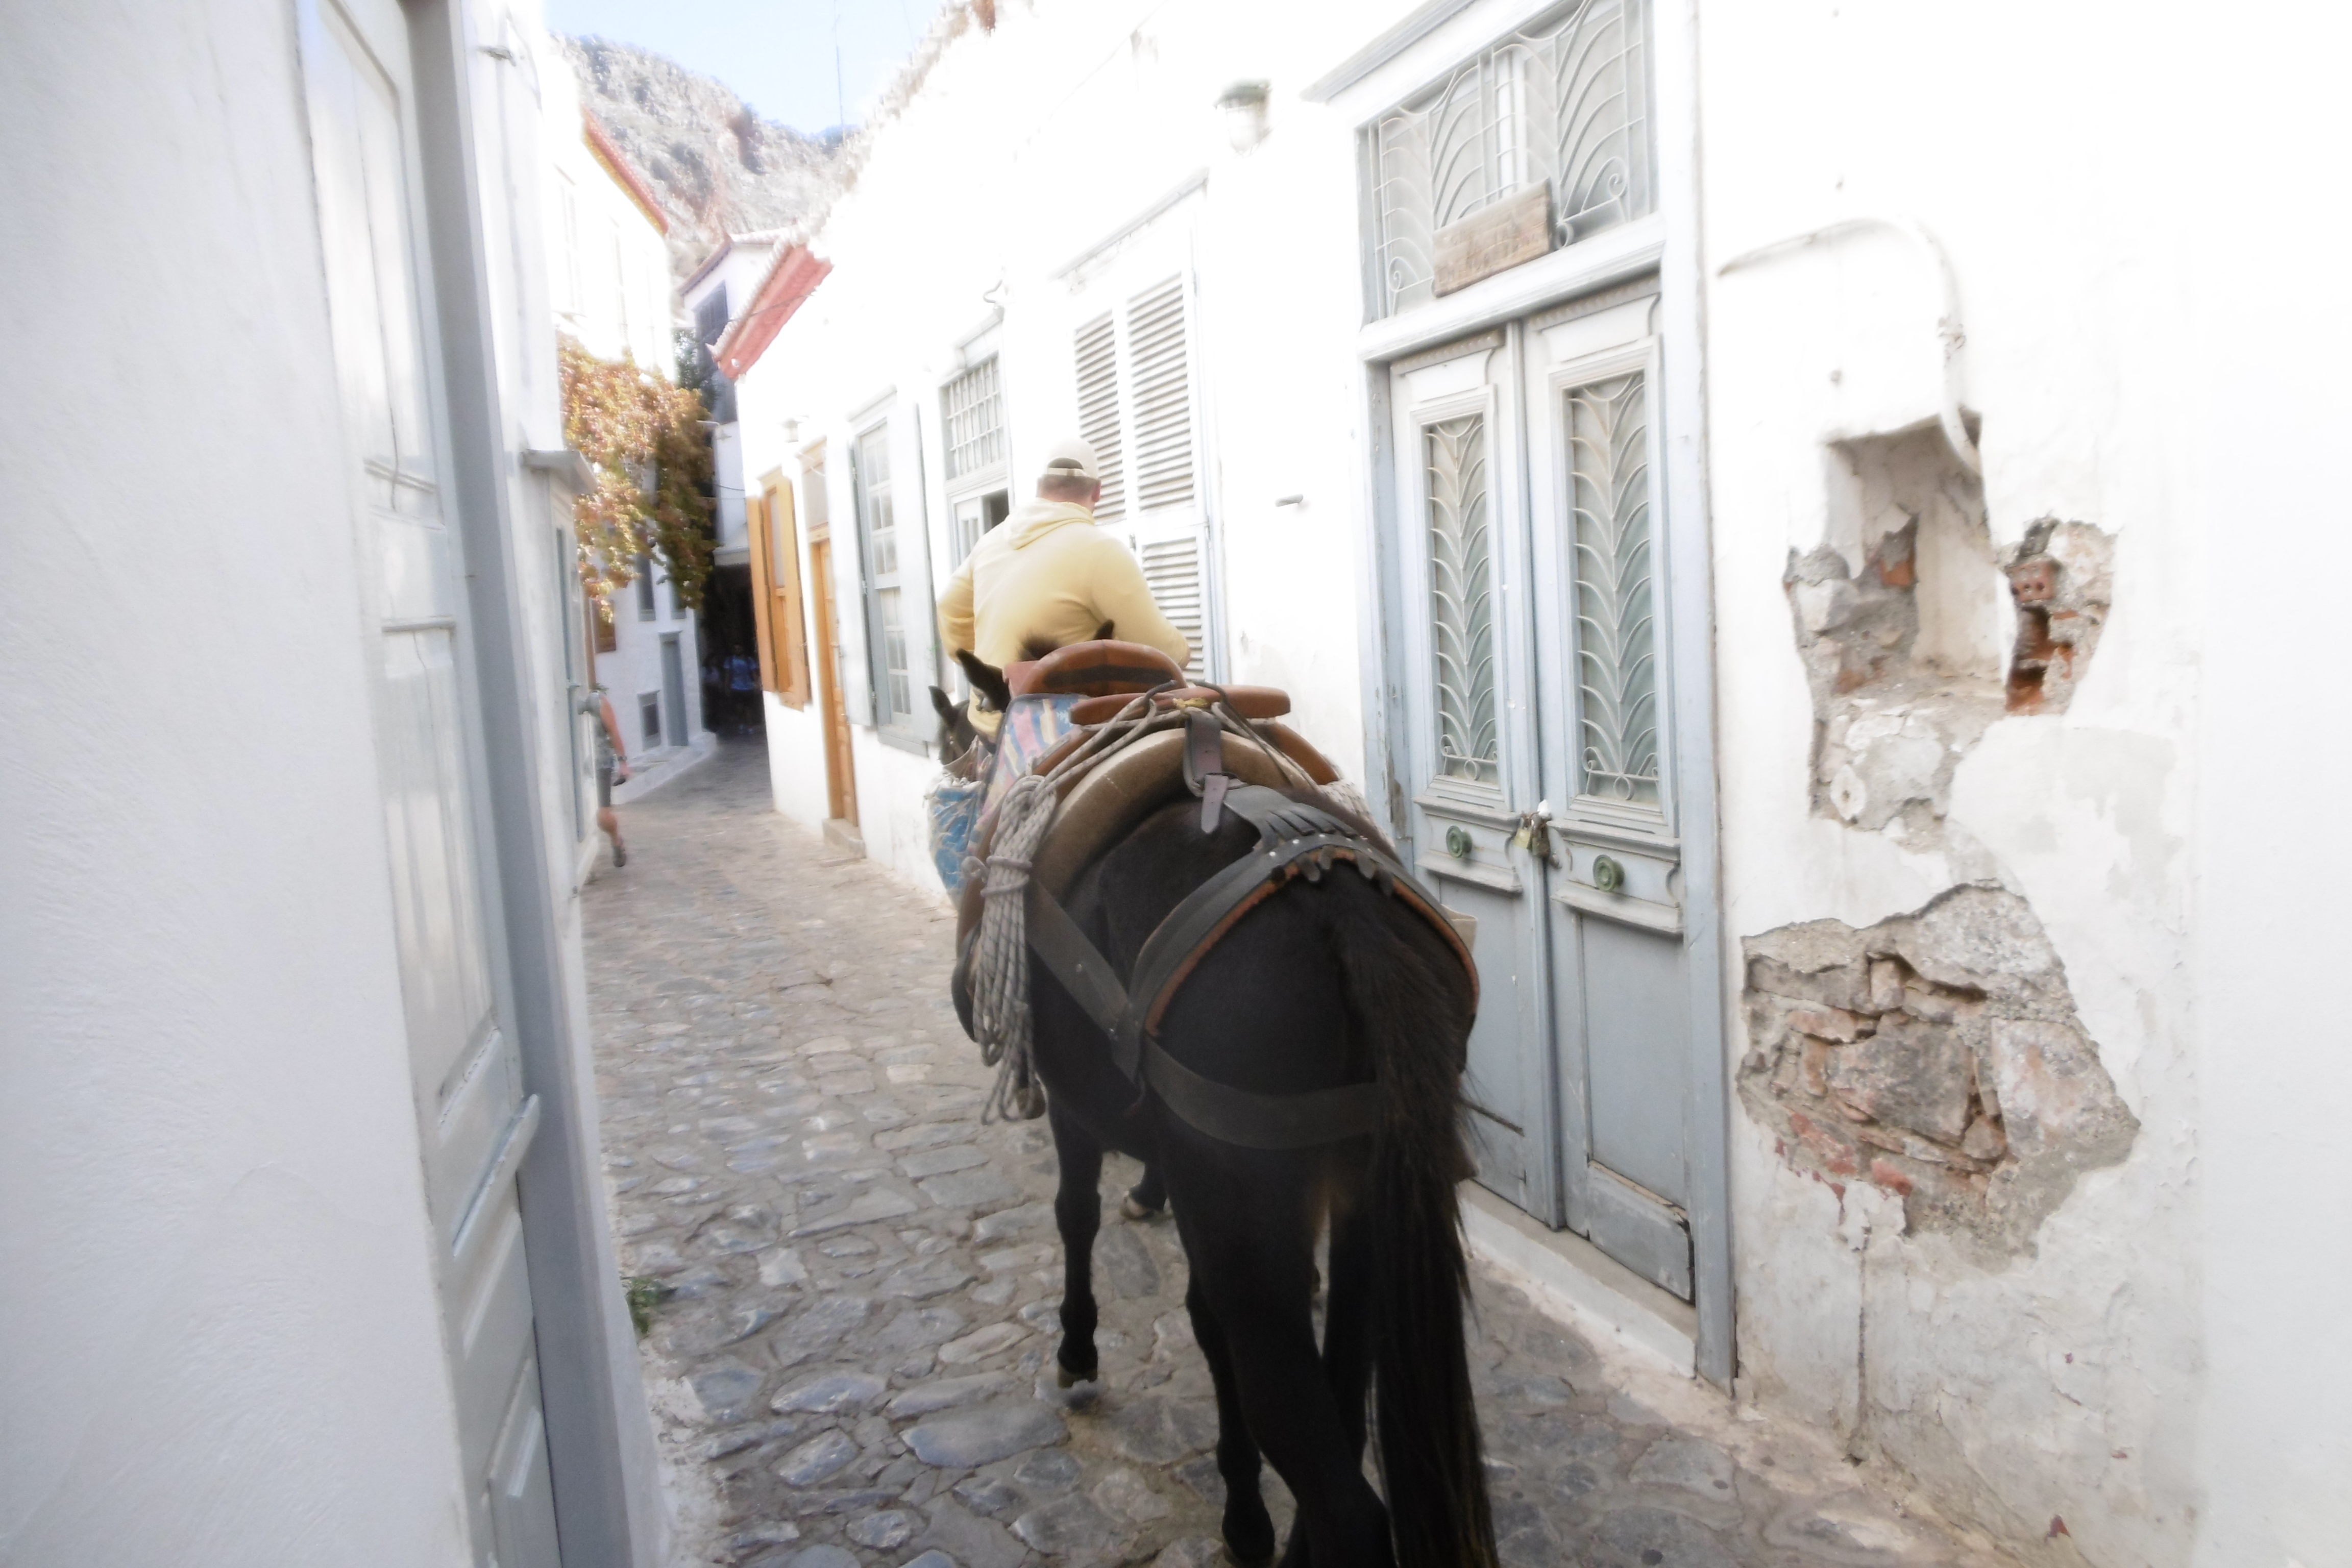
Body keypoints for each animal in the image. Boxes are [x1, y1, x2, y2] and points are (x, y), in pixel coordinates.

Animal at [948, 650, 1498, 1568]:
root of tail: (1340, 905)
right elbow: (1199, 1313)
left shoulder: (1081, 1113)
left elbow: (1076, 1217)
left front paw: (1078, 1350)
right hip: (1363, 1205)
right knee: (1343, 1408)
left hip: (1255, 1224)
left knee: (1338, 1487)